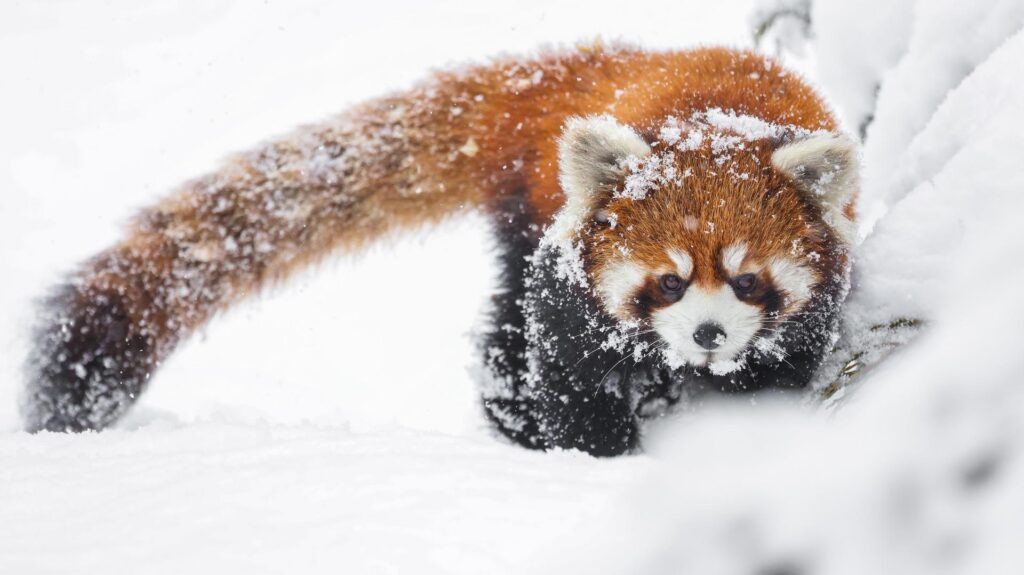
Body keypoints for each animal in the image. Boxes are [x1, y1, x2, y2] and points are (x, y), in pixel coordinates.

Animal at [24, 43, 856, 456]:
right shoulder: (570, 280)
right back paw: (517, 421)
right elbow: (568, 362)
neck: (714, 117)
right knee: (508, 338)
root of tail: (567, 71)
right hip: (532, 219)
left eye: (747, 281)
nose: (708, 334)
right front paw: (597, 452)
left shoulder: (809, 310)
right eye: (668, 282)